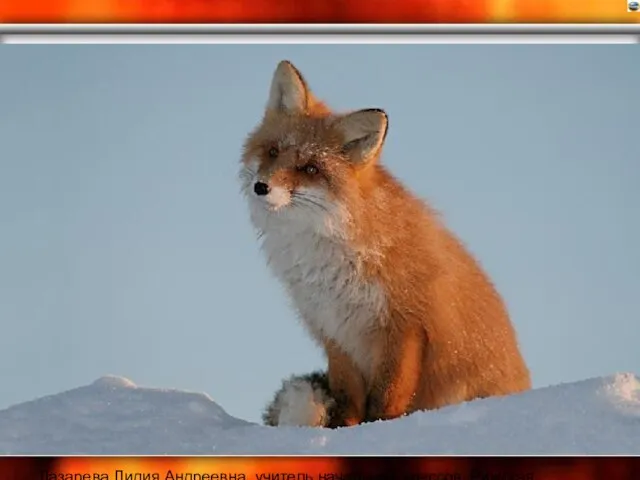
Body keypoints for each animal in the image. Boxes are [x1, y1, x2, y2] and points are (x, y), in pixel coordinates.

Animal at [240, 59, 528, 428]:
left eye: (311, 168)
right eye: (273, 151)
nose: (261, 187)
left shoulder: (404, 326)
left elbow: (387, 399)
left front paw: (378, 430)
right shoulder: (334, 330)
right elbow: (347, 398)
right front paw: (344, 432)